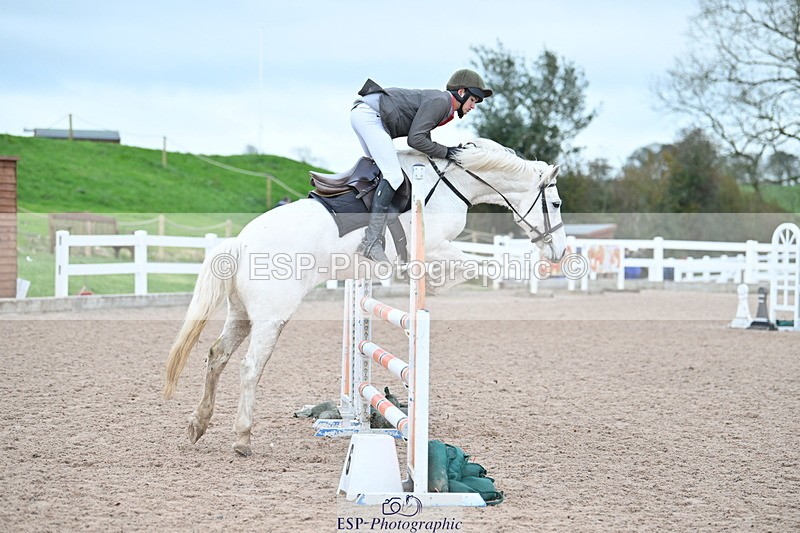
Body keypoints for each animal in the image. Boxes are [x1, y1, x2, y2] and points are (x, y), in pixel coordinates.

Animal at [163, 138, 568, 456]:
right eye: (557, 204)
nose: (559, 252)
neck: (452, 183)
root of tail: (241, 242)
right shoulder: (433, 247)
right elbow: (474, 265)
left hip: (242, 314)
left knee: (217, 356)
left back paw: (197, 425)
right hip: (271, 316)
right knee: (250, 367)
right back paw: (243, 438)